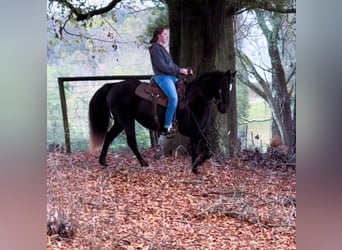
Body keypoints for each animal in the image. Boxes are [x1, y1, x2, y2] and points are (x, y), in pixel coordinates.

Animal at [89, 69, 236, 173]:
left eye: (230, 87)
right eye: (223, 87)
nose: (224, 108)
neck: (194, 99)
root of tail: (113, 85)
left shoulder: (197, 130)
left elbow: (199, 146)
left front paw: (195, 167)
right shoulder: (192, 130)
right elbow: (204, 145)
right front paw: (197, 164)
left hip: (120, 122)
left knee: (109, 136)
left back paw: (103, 161)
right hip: (127, 120)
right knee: (131, 141)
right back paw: (144, 163)